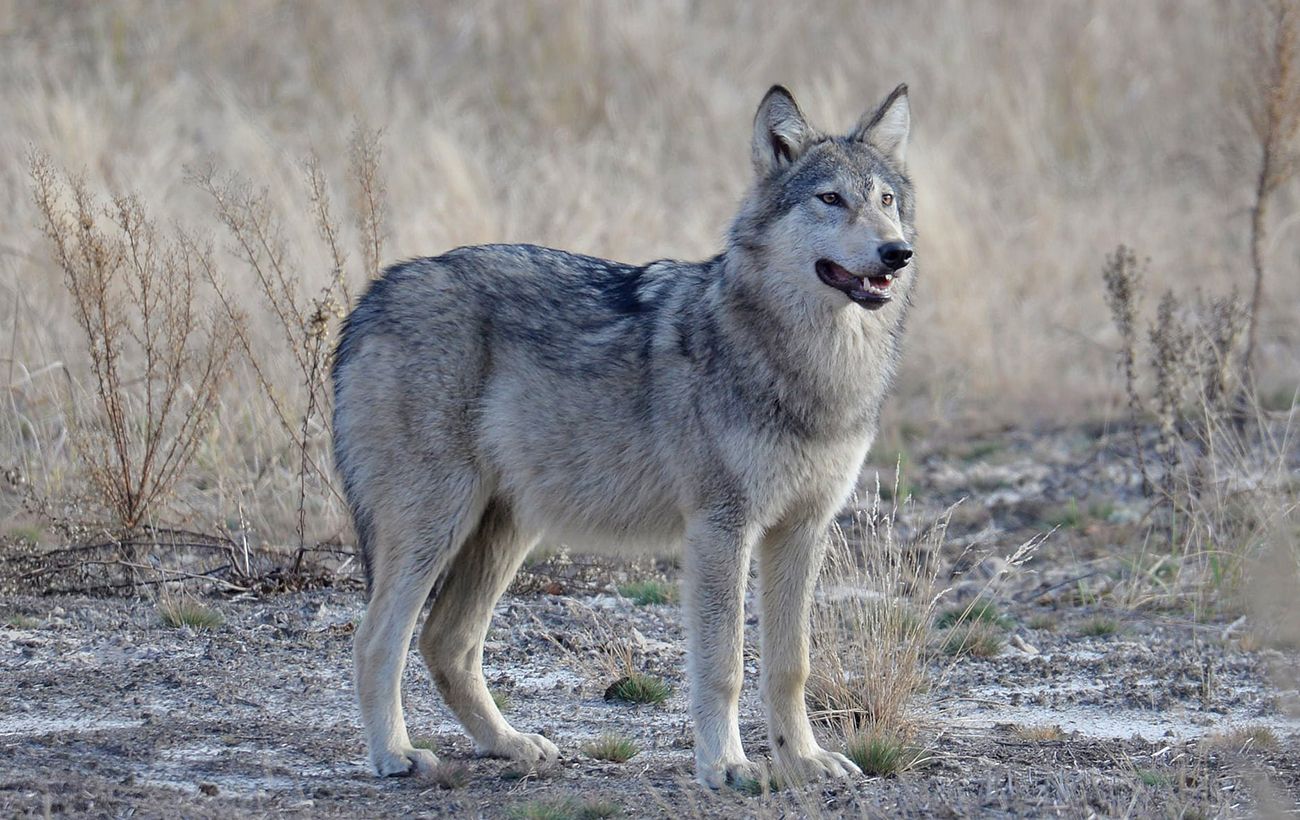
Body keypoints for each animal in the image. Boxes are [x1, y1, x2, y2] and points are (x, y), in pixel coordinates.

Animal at [335, 83, 915, 790]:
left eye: (885, 200)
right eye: (830, 199)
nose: (897, 252)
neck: (810, 368)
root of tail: (372, 296)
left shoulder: (802, 530)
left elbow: (789, 664)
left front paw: (802, 760)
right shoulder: (721, 529)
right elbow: (723, 665)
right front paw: (726, 766)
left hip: (504, 532)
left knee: (445, 642)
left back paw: (511, 746)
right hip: (435, 528)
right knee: (377, 640)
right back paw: (395, 754)